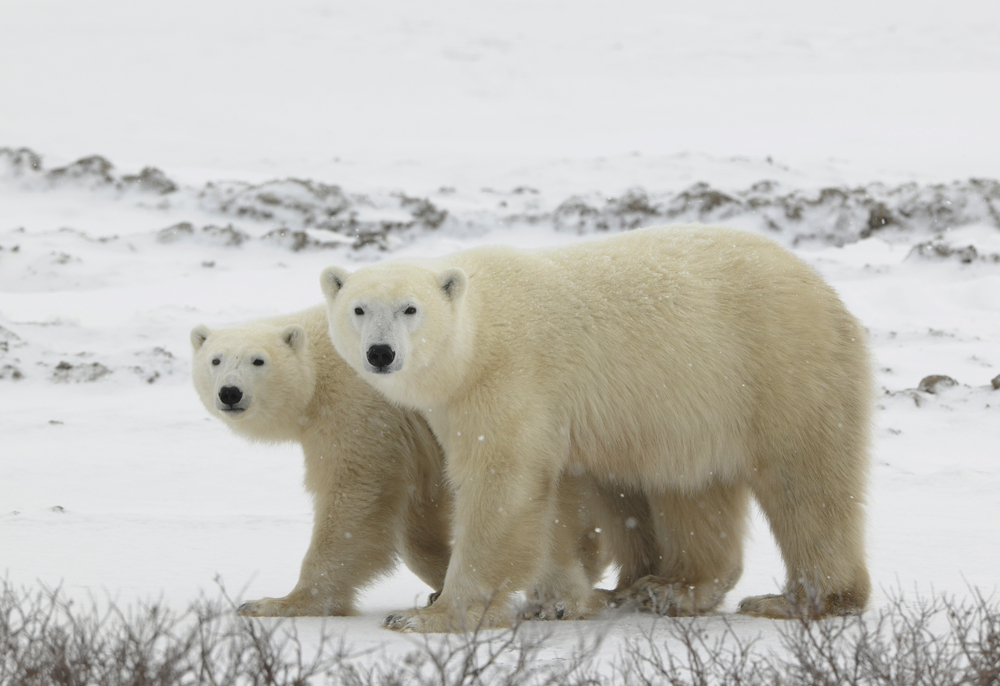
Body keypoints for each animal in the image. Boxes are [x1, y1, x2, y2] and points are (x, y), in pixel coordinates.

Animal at [191, 305, 607, 619]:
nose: (230, 393)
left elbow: (357, 495)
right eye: (215, 359)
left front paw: (275, 603)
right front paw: (440, 583)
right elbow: (418, 513)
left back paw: (563, 601)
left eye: (258, 360)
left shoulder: (362, 409)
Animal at [320, 224, 874, 633]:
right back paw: (668, 587)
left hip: (779, 367)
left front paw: (429, 614)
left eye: (410, 308)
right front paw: (559, 601)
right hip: (697, 413)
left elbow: (502, 486)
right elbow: (556, 498)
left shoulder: (510, 381)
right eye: (358, 308)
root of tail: (823, 287)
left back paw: (800, 599)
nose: (381, 353)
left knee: (806, 483)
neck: (478, 337)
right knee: (692, 490)